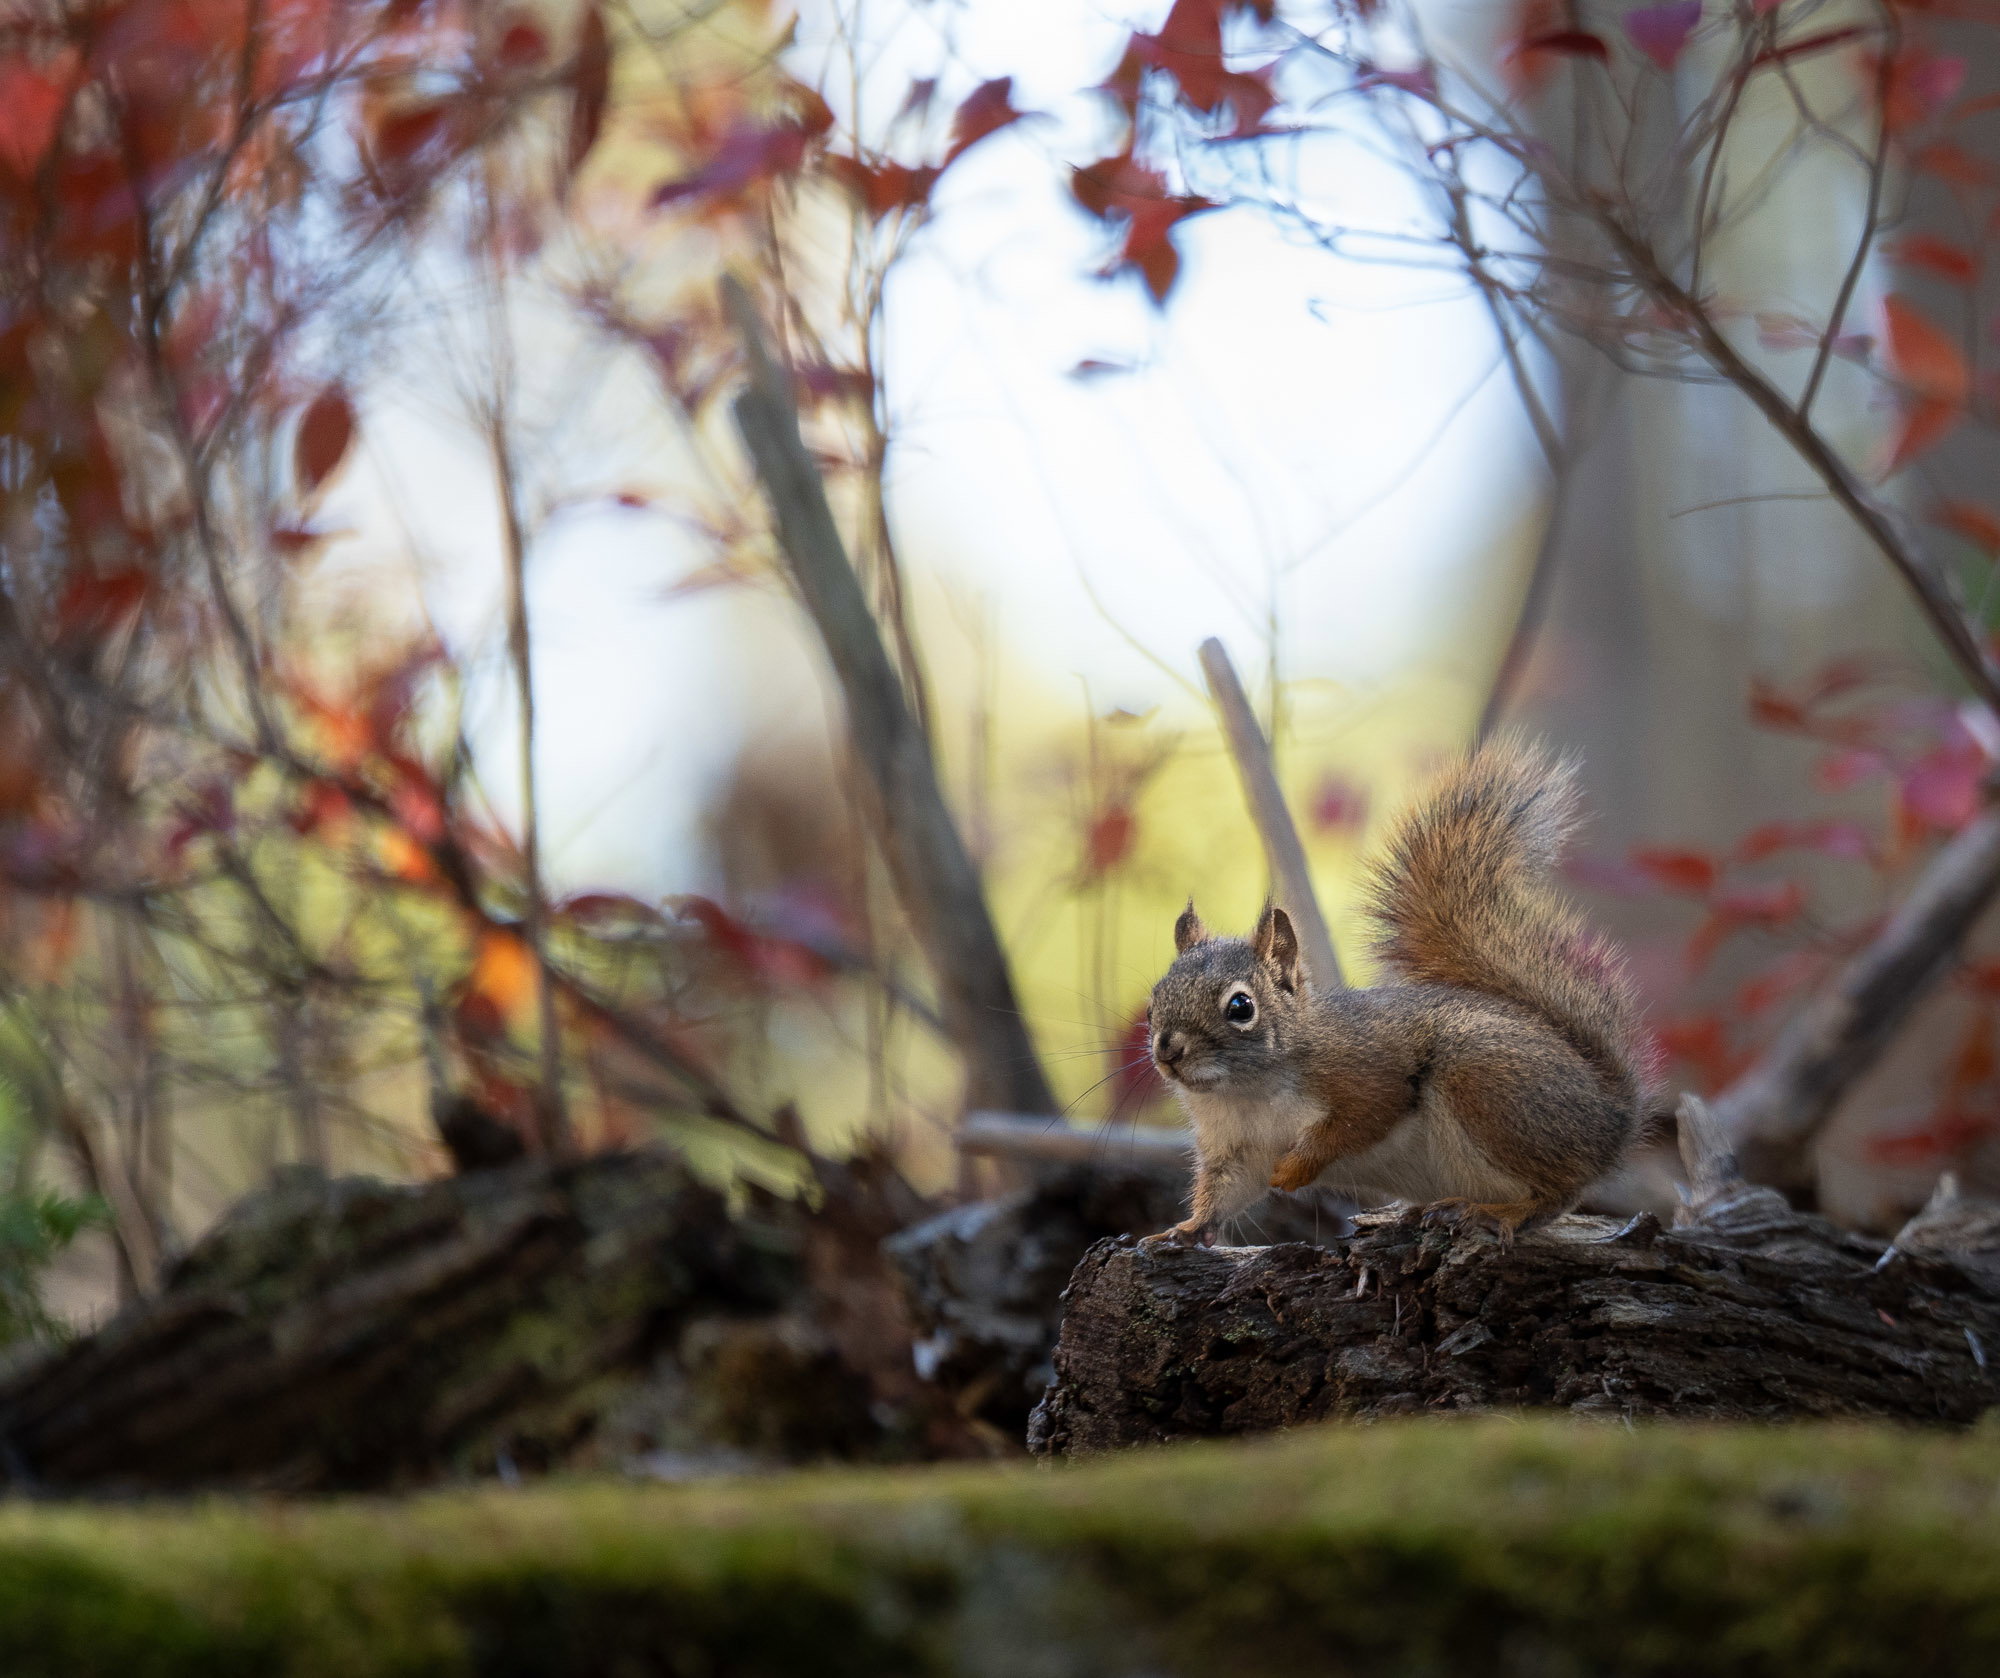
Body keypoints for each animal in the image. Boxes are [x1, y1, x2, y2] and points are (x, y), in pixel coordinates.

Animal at [1142, 738, 1646, 1246]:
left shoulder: (1369, 1067)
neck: (1246, 1092)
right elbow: (1226, 1192)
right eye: (1154, 1001)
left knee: (1559, 1190)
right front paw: (1182, 1231)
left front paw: (1296, 1168)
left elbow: (1361, 1117)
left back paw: (1496, 1213)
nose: (1168, 1051)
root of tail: (1613, 1114)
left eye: (1241, 1006)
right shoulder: (1237, 1149)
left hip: (1489, 1083)